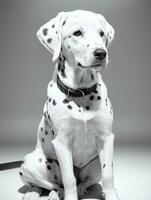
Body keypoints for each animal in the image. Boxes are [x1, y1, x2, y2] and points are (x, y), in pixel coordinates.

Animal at [19, 10, 119, 200]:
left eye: (102, 33)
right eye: (77, 33)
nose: (101, 53)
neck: (81, 92)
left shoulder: (106, 138)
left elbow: (108, 175)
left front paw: (111, 194)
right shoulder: (62, 142)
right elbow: (68, 179)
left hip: (95, 163)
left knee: (86, 181)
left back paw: (84, 189)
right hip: (32, 162)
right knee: (51, 184)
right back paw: (38, 192)